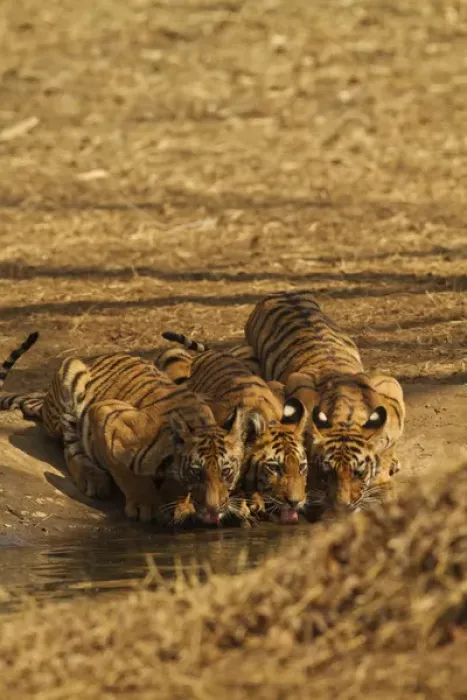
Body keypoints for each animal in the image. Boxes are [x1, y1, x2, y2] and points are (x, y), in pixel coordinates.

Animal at [0, 336, 246, 526]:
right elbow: (125, 472)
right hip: (70, 371)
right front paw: (145, 505)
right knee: (71, 447)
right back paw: (92, 478)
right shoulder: (106, 415)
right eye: (197, 472)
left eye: (226, 472)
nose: (214, 510)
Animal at [244, 290, 405, 514]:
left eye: (358, 472)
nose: (343, 507)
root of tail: (281, 293)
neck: (348, 416)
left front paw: (383, 481)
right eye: (329, 471)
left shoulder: (390, 387)